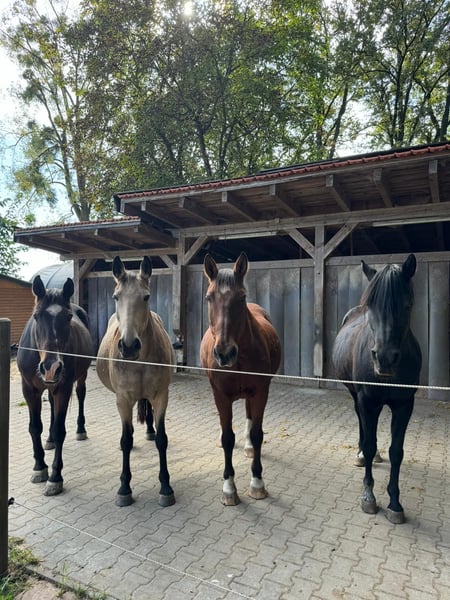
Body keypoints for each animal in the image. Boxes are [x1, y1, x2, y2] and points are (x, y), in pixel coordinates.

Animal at [17, 276, 93, 496]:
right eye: (36, 316)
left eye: (68, 317)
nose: (51, 368)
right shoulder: (29, 390)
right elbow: (35, 428)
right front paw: (39, 468)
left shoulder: (63, 389)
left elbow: (60, 430)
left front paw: (54, 478)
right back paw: (49, 440)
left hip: (80, 377)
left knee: (81, 394)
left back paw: (80, 430)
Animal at [96, 256, 175, 507]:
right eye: (116, 296)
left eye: (146, 296)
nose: (129, 346)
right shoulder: (123, 400)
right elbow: (126, 440)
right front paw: (124, 488)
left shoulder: (161, 396)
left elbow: (162, 439)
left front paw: (166, 487)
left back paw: (149, 429)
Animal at [200, 253, 281, 506]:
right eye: (209, 297)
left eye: (241, 297)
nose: (224, 353)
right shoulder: (220, 395)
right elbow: (227, 437)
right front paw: (229, 487)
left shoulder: (261, 391)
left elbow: (257, 433)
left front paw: (257, 483)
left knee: (249, 419)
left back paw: (248, 447)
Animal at [332, 254, 422, 523]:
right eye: (371, 305)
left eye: (407, 305)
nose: (384, 358)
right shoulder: (367, 401)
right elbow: (370, 444)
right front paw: (369, 497)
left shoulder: (404, 405)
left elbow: (396, 452)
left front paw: (394, 503)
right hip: (357, 397)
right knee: (362, 424)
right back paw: (361, 454)